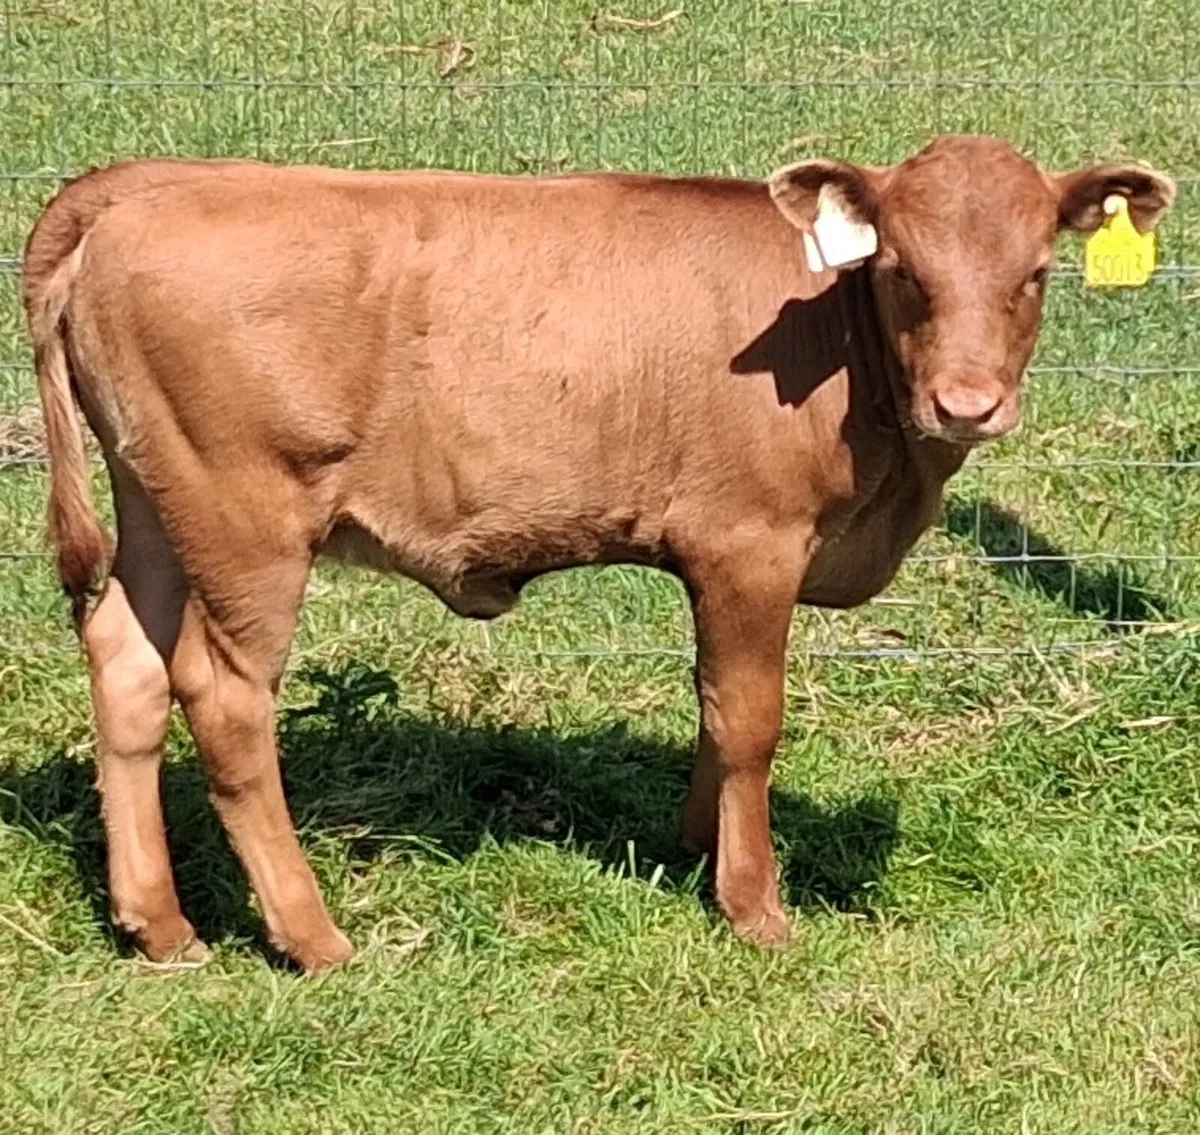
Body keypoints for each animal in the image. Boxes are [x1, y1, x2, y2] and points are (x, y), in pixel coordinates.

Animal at [22, 136, 1173, 971]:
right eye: (902, 271)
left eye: (1035, 273)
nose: (967, 403)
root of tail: (142, 185)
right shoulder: (748, 541)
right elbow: (750, 717)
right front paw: (754, 905)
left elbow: (710, 705)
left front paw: (697, 844)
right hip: (243, 516)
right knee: (224, 698)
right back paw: (312, 938)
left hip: (156, 502)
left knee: (125, 659)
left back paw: (161, 927)